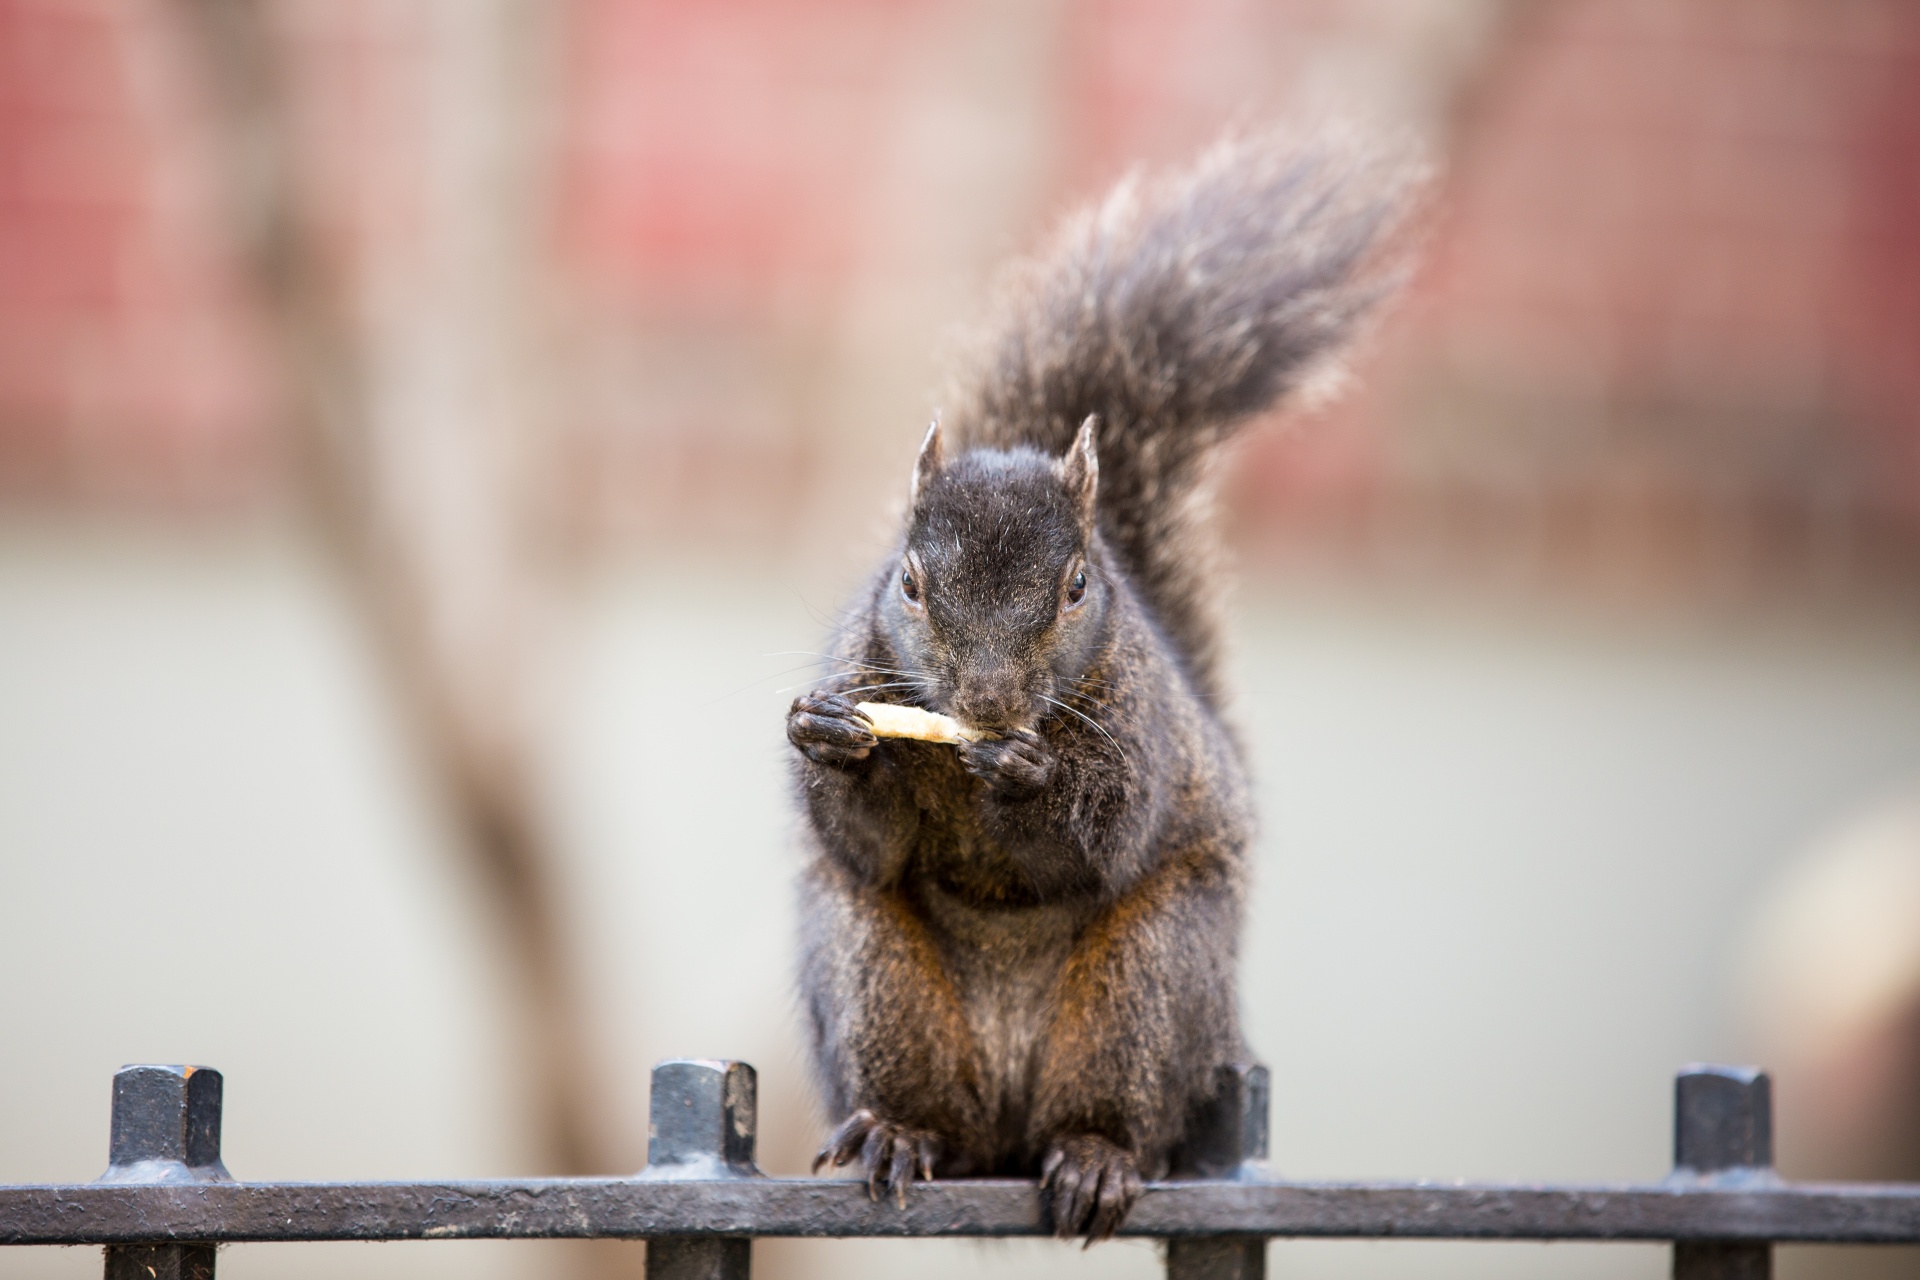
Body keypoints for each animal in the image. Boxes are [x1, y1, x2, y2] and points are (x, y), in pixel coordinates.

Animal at [779, 124, 1413, 1235]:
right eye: (907, 580)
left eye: (1078, 586)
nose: (989, 705)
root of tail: (1007, 1120)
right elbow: (866, 840)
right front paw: (831, 738)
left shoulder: (1142, 730)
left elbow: (1107, 835)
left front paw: (1032, 779)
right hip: (871, 980)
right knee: (925, 1094)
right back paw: (901, 1131)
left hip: (1152, 984)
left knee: (1117, 1107)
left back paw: (1094, 1158)